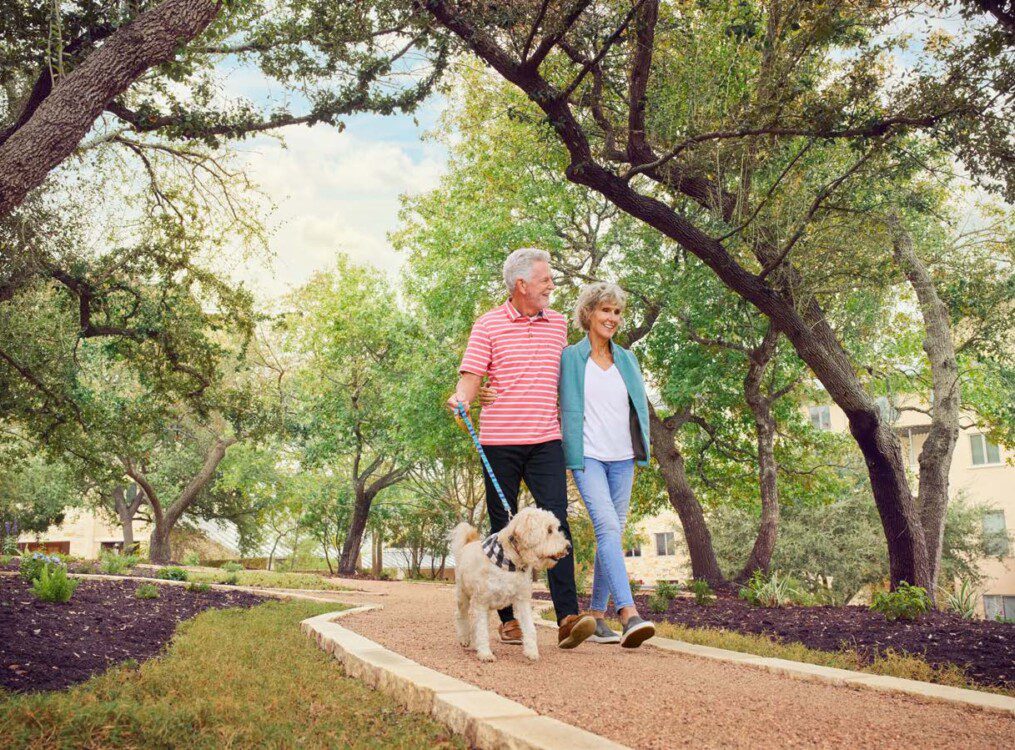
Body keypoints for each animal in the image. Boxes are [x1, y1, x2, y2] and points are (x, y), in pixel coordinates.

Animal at [452, 505, 572, 661]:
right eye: (549, 530)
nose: (568, 547)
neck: (510, 562)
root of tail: (468, 544)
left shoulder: (522, 601)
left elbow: (529, 628)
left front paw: (532, 652)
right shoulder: (481, 602)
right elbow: (482, 631)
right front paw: (485, 654)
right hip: (463, 596)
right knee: (461, 616)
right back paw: (465, 638)